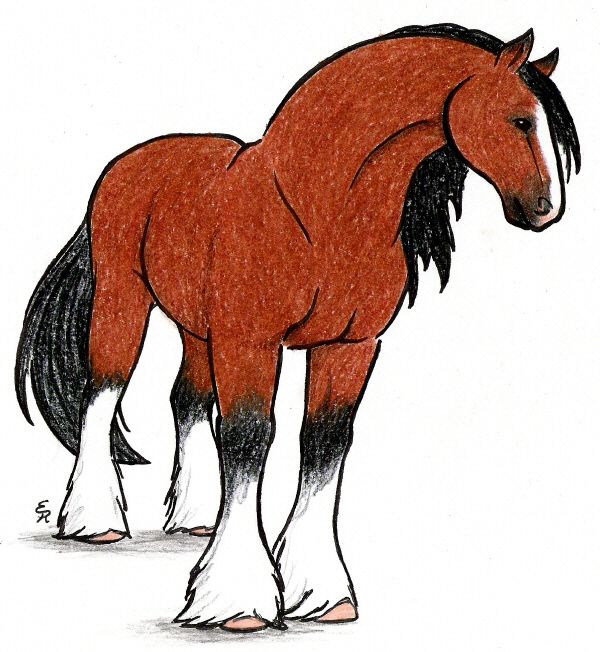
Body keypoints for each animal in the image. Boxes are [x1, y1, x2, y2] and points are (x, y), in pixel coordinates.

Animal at [15, 24, 580, 632]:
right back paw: (93, 520)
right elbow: (247, 439)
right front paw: (235, 599)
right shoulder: (250, 343)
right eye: (520, 119)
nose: (545, 208)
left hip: (198, 329)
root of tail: (129, 163)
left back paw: (194, 515)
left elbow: (325, 442)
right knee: (103, 392)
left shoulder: (348, 346)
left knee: (185, 400)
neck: (319, 213)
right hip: (125, 301)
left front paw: (321, 592)